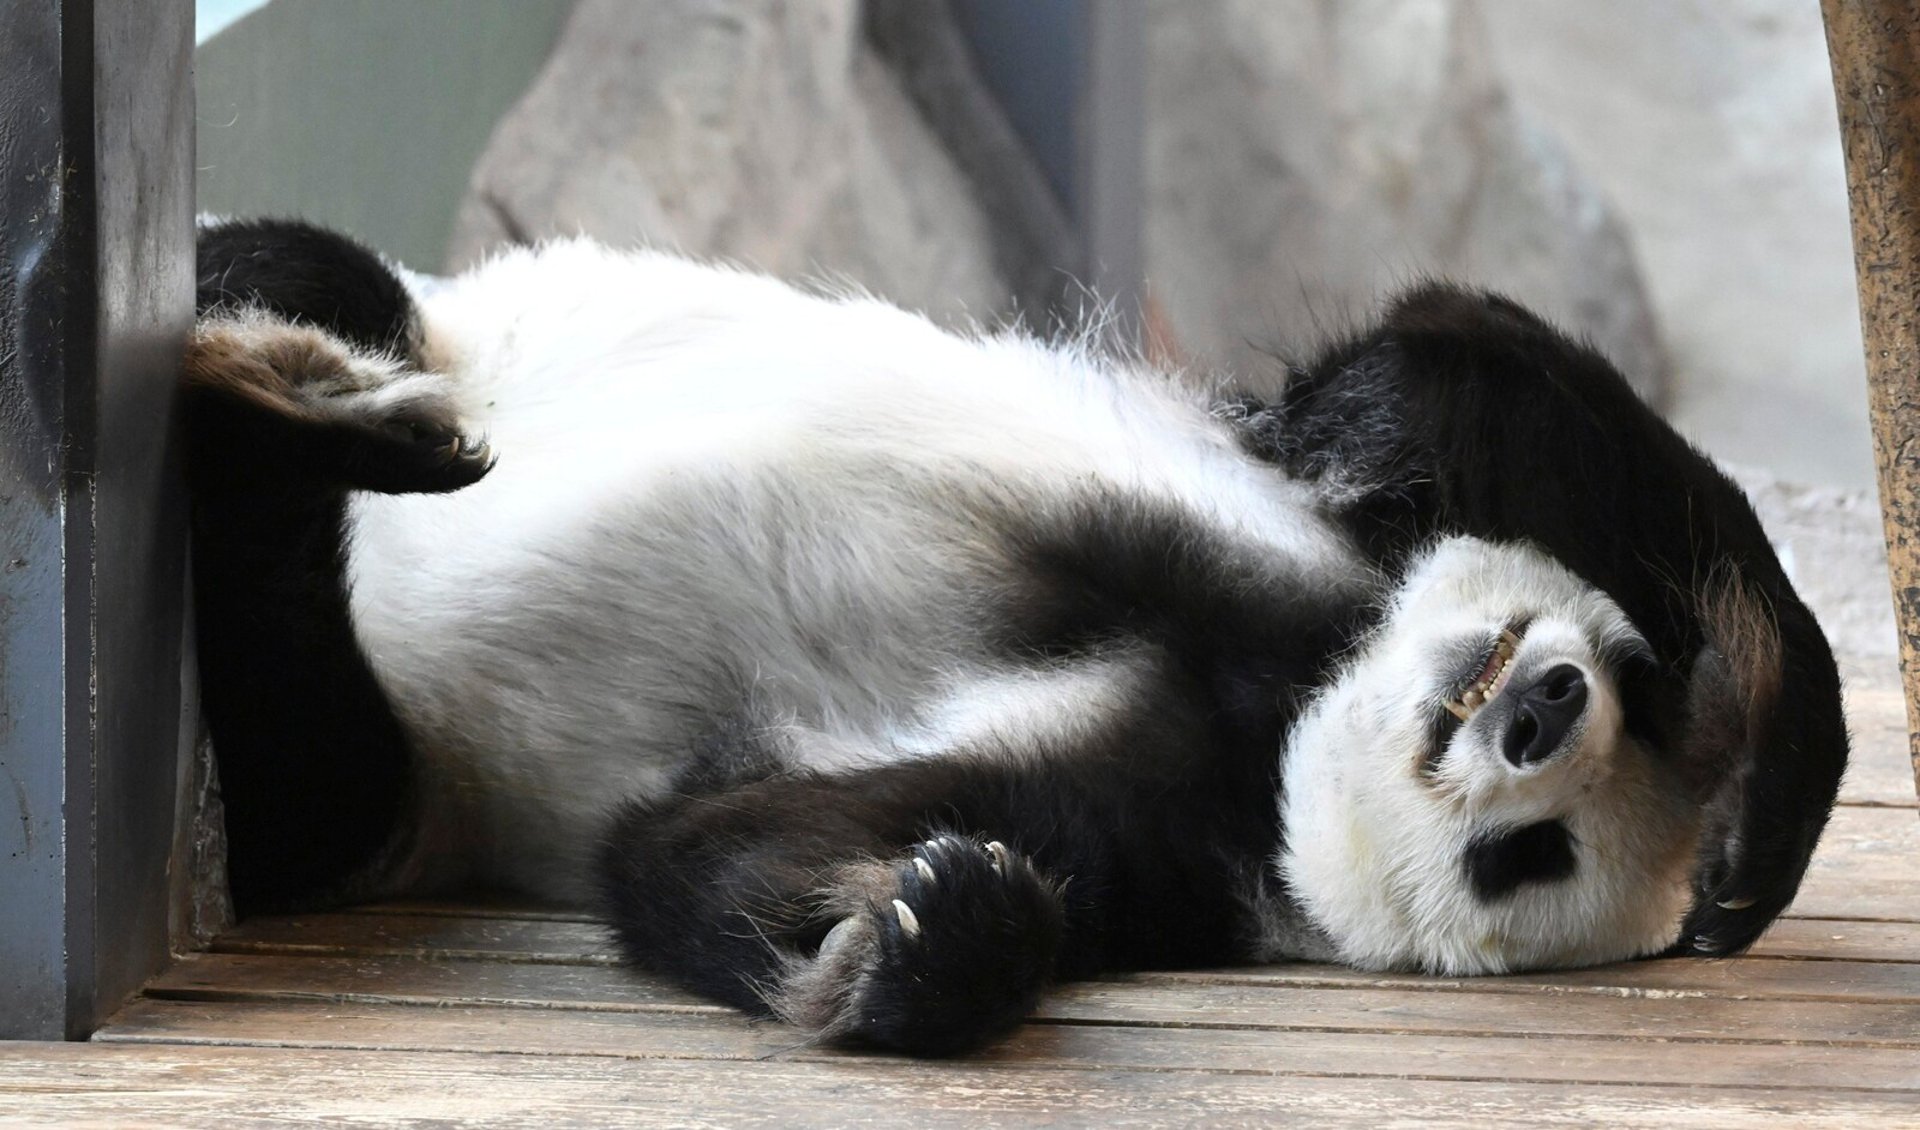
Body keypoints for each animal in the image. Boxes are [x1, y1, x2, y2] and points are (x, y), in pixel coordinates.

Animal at [180, 220, 1843, 1059]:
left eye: (1528, 856)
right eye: (1629, 690)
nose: (1540, 711)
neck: (1285, 704)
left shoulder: (1154, 824)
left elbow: (703, 844)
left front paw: (930, 934)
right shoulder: (1293, 550)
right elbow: (1453, 367)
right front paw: (1756, 822)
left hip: (376, 786)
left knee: (292, 732)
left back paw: (290, 424)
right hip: (439, 321)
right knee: (317, 268)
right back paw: (318, 370)